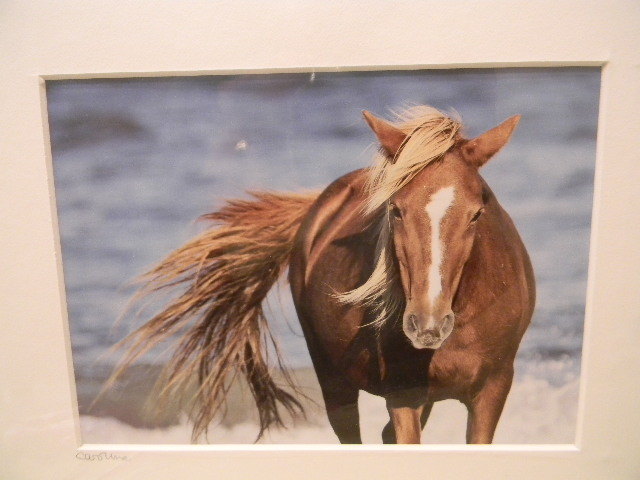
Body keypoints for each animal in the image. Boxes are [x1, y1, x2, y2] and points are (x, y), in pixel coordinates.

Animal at [111, 105, 535, 444]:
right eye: (396, 209)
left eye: (476, 213)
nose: (427, 324)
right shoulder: (403, 396)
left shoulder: (492, 392)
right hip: (335, 384)